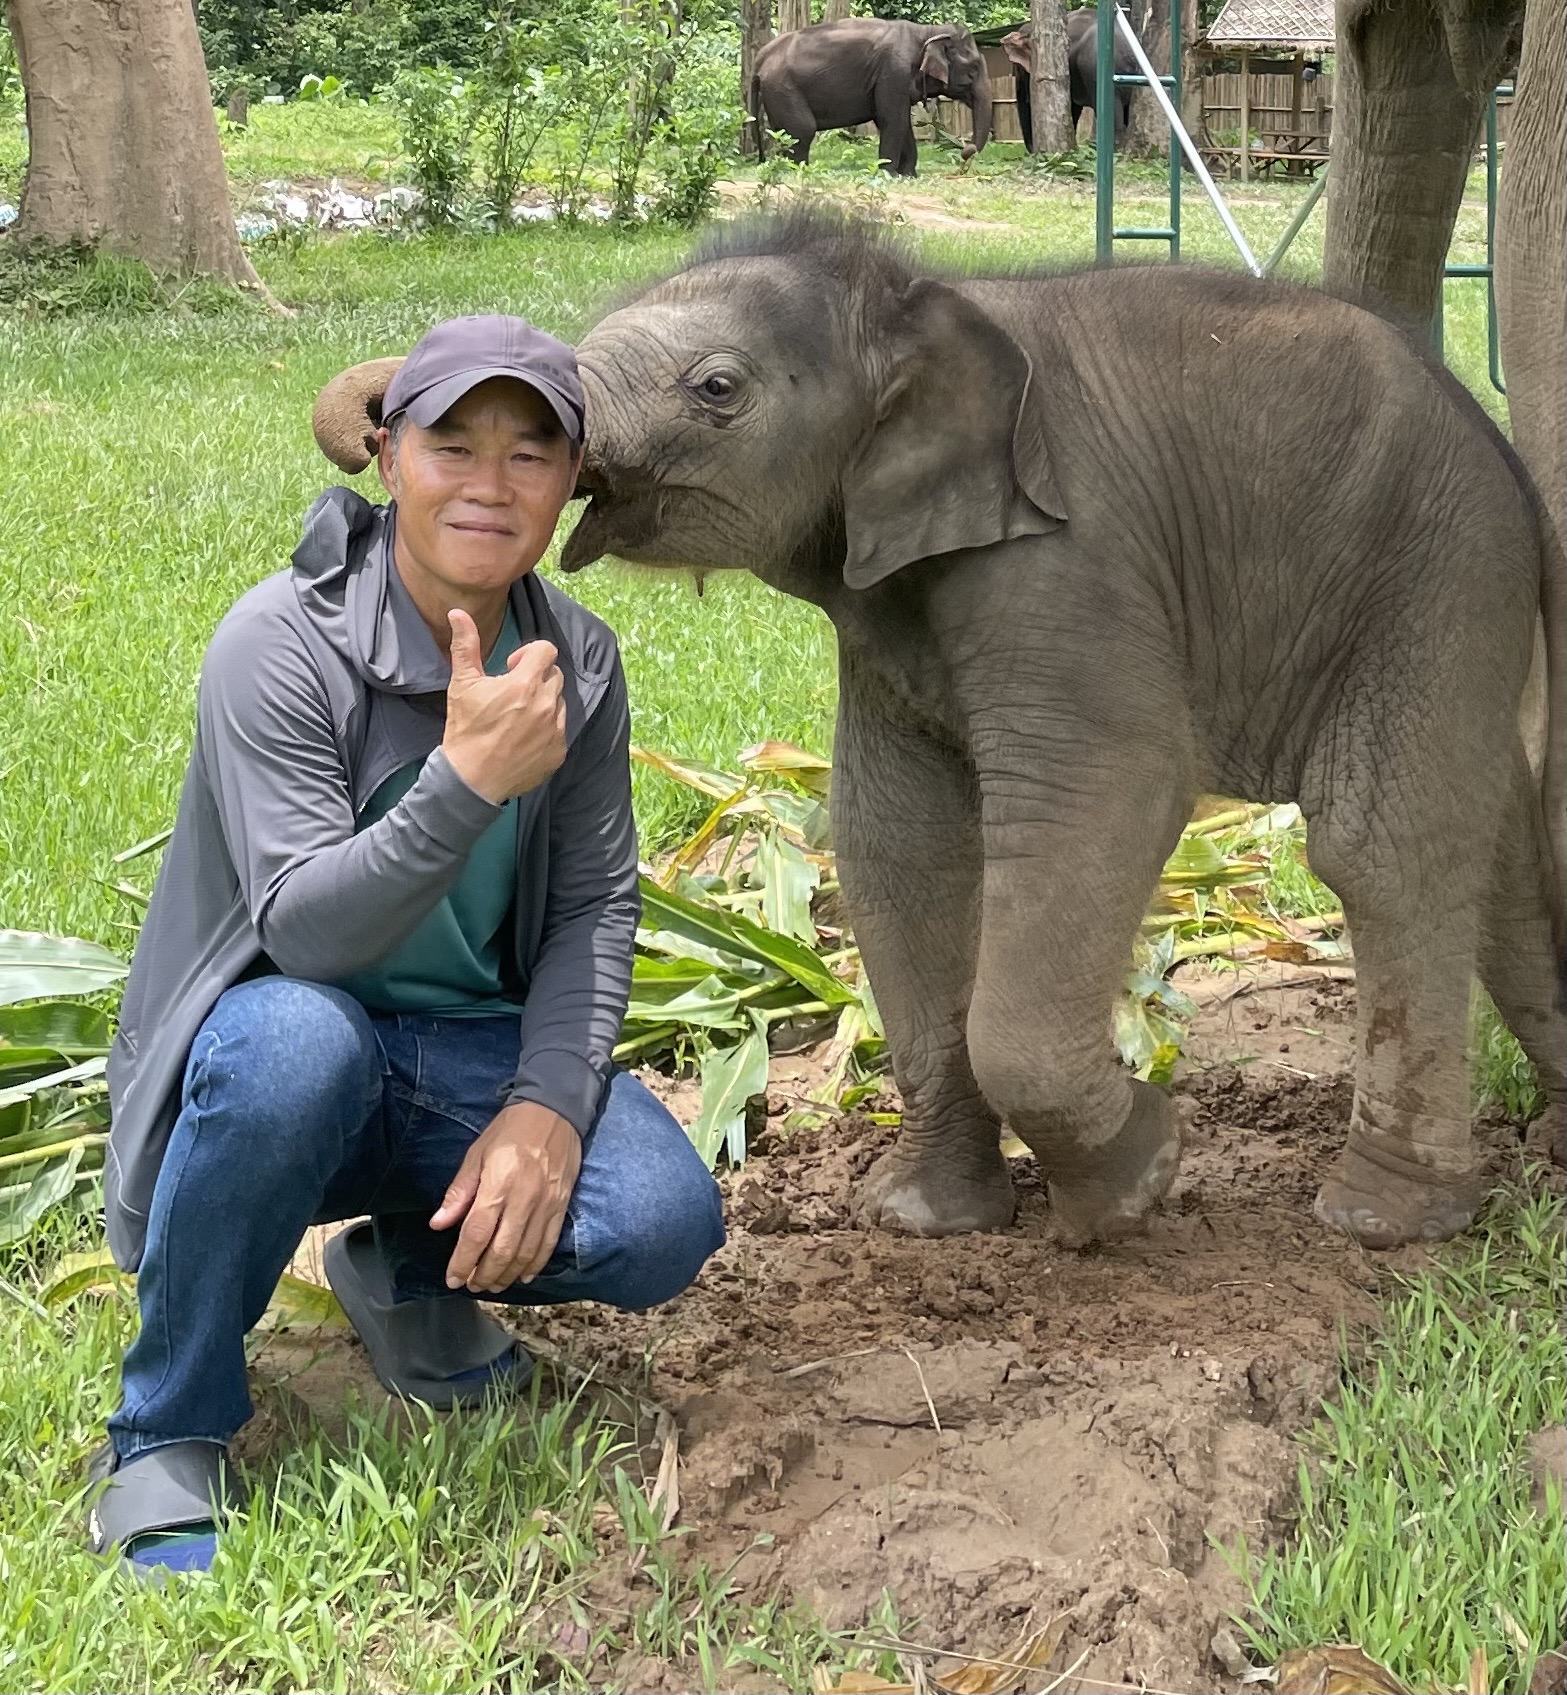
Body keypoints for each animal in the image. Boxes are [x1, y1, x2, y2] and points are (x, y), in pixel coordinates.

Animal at [315, 217, 1567, 1252]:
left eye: (716, 387)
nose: (397, 424)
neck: (917, 303)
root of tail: (1507, 463)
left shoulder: (1065, 562)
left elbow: (1105, 791)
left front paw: (1135, 1186)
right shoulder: (884, 612)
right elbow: (896, 841)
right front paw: (921, 1222)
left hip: (1433, 570)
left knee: (1381, 846)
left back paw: (1379, 1223)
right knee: (1498, 846)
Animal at [751, 18, 993, 177]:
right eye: (973, 69)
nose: (965, 152)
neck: (926, 31)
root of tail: (760, 58)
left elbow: (902, 122)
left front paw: (908, 175)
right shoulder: (894, 71)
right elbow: (891, 120)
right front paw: (889, 175)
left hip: (776, 92)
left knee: (783, 131)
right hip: (784, 87)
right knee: (803, 129)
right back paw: (800, 170)